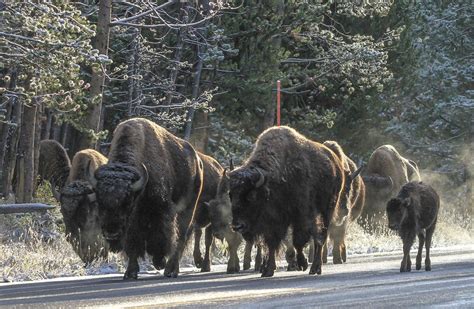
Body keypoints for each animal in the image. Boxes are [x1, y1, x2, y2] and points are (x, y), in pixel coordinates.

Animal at [88, 116, 203, 278]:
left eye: (127, 202)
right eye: (99, 201)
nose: (111, 232)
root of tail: (198, 161)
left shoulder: (160, 211)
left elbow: (160, 237)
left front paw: (159, 262)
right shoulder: (132, 225)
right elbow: (132, 244)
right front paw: (130, 272)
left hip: (188, 210)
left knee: (181, 238)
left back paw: (170, 270)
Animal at [228, 125, 346, 276]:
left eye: (251, 196)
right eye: (231, 195)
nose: (237, 226)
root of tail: (335, 161)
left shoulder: (300, 215)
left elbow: (298, 241)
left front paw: (302, 264)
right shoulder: (274, 221)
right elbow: (272, 243)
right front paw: (268, 270)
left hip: (327, 210)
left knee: (321, 237)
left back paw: (315, 268)